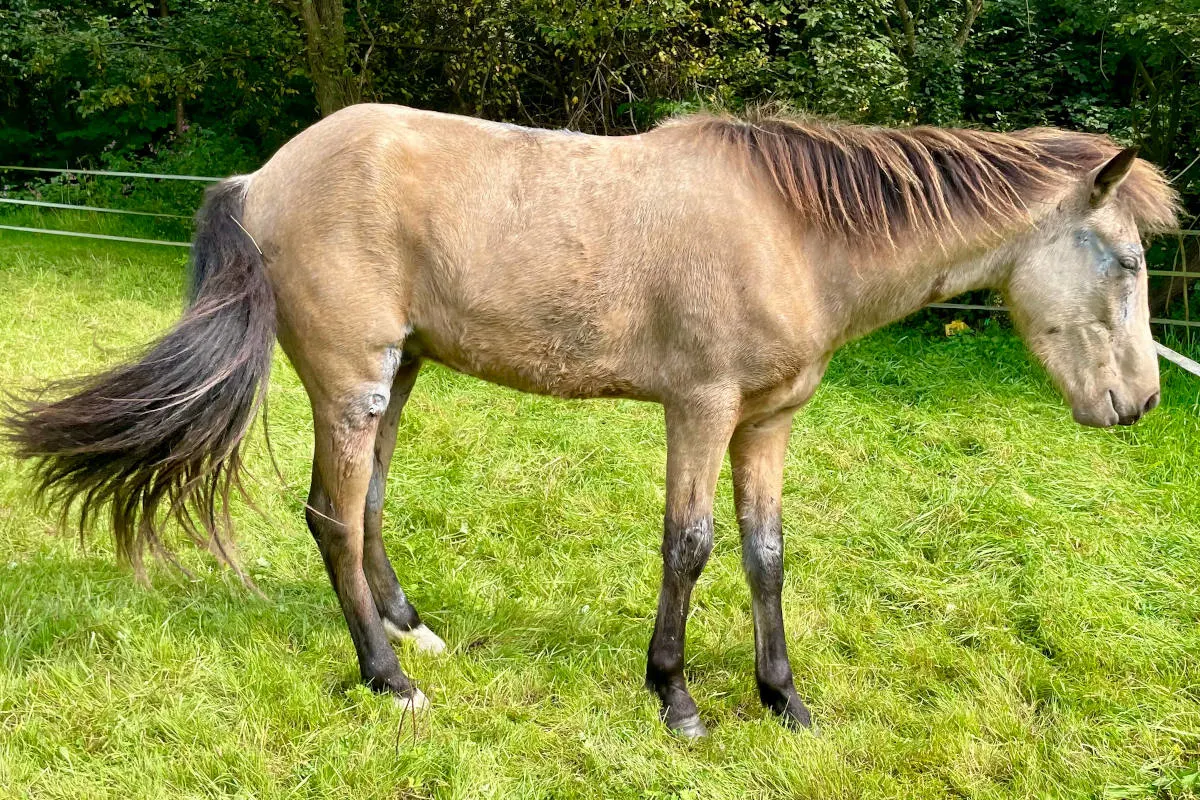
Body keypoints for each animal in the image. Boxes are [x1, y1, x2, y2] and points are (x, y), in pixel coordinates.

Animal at [5, 105, 1178, 737]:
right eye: (1125, 262)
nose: (1142, 403)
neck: (795, 232)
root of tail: (260, 178)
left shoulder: (768, 422)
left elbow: (765, 553)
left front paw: (784, 701)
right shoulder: (700, 408)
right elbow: (689, 545)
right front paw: (676, 697)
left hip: (400, 377)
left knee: (368, 505)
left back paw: (411, 627)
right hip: (351, 381)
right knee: (332, 518)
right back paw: (390, 678)